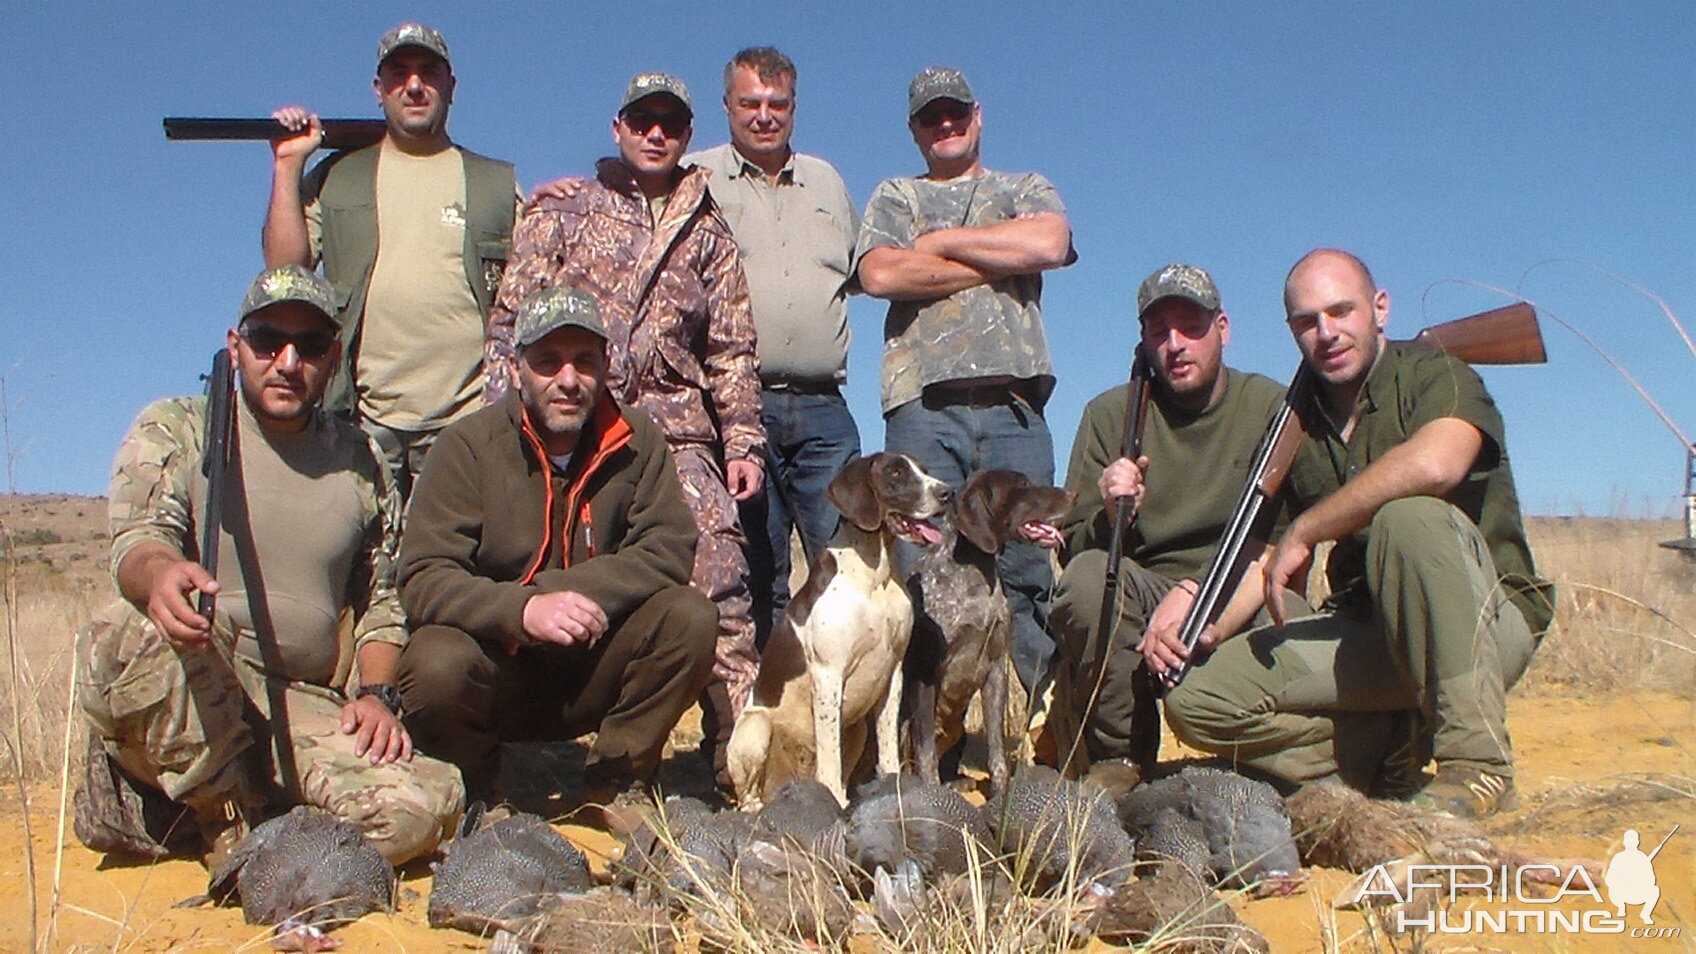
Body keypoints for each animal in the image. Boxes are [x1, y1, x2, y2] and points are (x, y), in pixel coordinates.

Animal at [722, 448, 956, 804]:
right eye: (895, 473)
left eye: (923, 469)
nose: (947, 492)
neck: (875, 576)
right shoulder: (828, 673)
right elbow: (829, 756)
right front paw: (832, 799)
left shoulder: (893, 672)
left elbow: (887, 744)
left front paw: (892, 785)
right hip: (755, 728)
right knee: (750, 795)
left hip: (856, 729)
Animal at [902, 465, 1071, 791]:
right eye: (1022, 487)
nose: (1072, 493)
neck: (973, 575)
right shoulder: (925, 673)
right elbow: (926, 754)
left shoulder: (995, 668)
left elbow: (996, 750)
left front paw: (1000, 790)